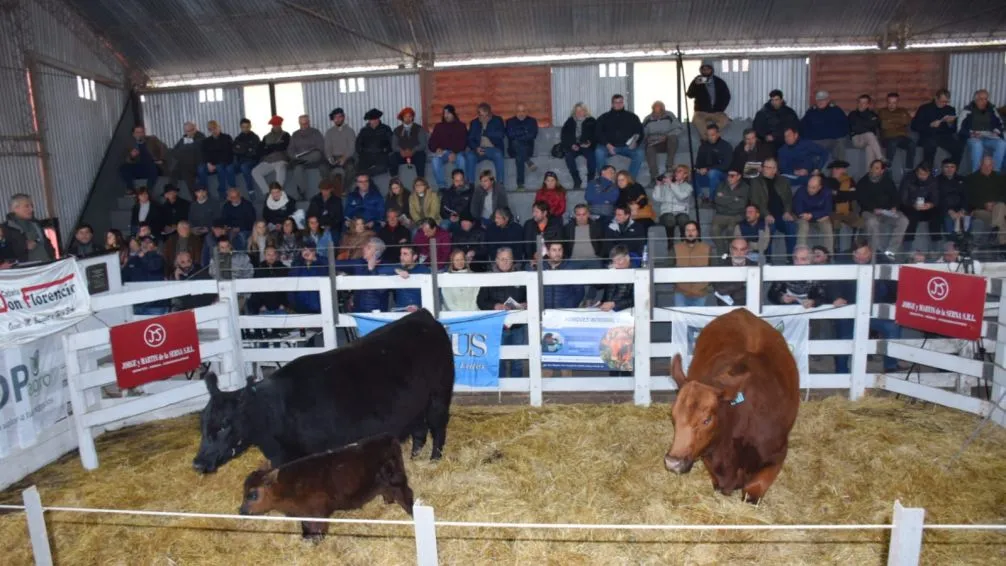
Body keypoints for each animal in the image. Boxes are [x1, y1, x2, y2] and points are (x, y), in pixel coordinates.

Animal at [189, 307, 456, 472]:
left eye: (224, 425)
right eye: (203, 423)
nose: (199, 463)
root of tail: (423, 316)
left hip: (439, 395)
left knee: (438, 427)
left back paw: (435, 459)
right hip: (415, 405)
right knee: (419, 430)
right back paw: (414, 457)